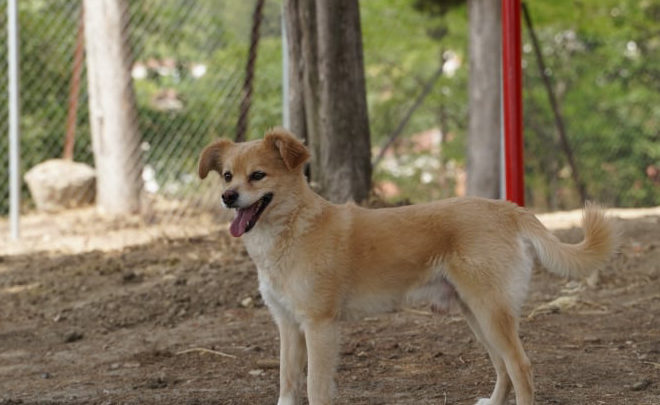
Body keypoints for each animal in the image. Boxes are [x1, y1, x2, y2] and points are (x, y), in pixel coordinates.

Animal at [199, 129, 616, 404]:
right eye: (227, 175)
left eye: (257, 175)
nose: (227, 197)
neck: (294, 228)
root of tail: (506, 208)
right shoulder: (288, 326)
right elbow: (287, 384)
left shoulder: (319, 327)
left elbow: (316, 388)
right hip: (477, 316)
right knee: (503, 367)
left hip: (491, 313)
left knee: (520, 366)